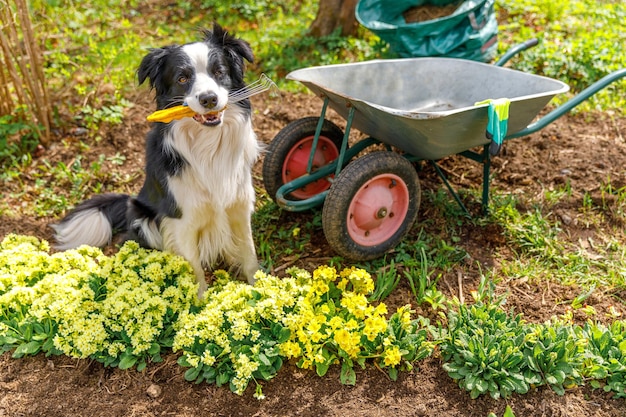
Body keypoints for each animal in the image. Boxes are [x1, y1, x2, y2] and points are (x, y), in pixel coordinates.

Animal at [51, 23, 258, 296]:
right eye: (182, 78)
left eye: (219, 72)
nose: (209, 99)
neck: (208, 144)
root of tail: (130, 200)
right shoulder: (181, 220)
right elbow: (195, 271)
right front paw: (199, 303)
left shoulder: (239, 206)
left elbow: (250, 256)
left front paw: (262, 289)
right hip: (145, 221)